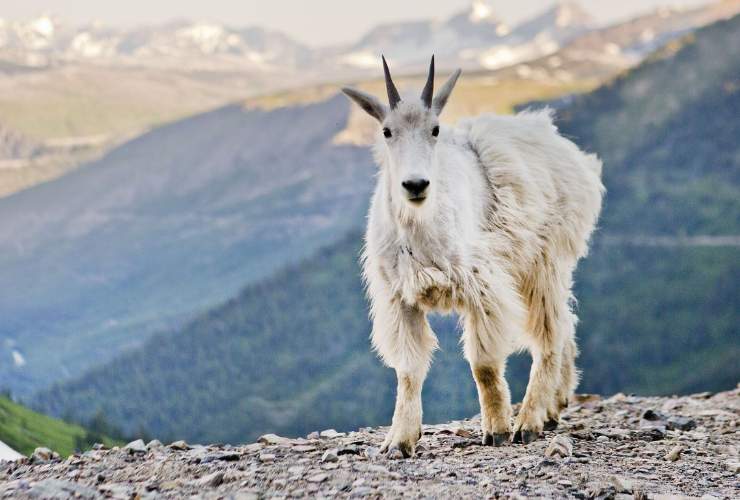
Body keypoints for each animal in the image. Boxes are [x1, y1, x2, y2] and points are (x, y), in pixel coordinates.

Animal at [344, 55, 604, 458]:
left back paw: (530, 421)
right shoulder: (400, 297)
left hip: (544, 261)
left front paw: (496, 430)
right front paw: (400, 440)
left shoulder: (481, 285)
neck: (419, 230)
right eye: (387, 131)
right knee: (566, 325)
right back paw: (554, 407)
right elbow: (408, 370)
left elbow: (483, 364)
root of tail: (569, 151)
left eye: (435, 130)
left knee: (552, 332)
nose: (416, 185)